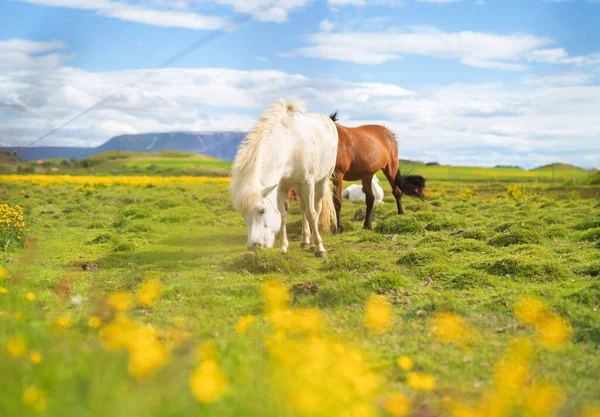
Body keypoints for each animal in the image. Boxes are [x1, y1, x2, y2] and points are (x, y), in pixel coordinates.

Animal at [230, 99, 338, 258]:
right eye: (244, 215)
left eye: (263, 211)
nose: (254, 246)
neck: (290, 144)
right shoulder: (281, 186)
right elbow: (283, 215)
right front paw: (283, 247)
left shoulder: (308, 183)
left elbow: (312, 214)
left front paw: (320, 249)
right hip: (299, 188)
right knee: (303, 208)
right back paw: (306, 241)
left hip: (322, 181)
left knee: (316, 209)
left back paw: (313, 243)